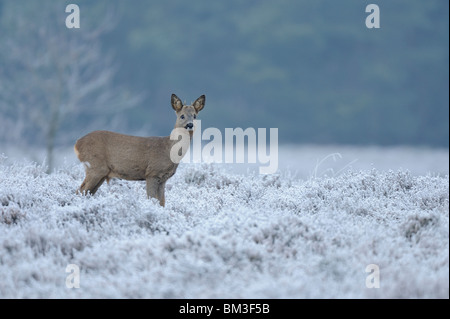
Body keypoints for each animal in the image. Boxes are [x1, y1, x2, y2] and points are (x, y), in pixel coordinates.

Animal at [74, 94, 206, 208]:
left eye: (195, 116)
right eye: (182, 116)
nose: (190, 125)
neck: (168, 149)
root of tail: (77, 144)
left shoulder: (163, 178)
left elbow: (162, 202)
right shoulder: (152, 173)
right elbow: (152, 199)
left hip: (101, 173)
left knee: (87, 192)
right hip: (95, 167)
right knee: (80, 190)